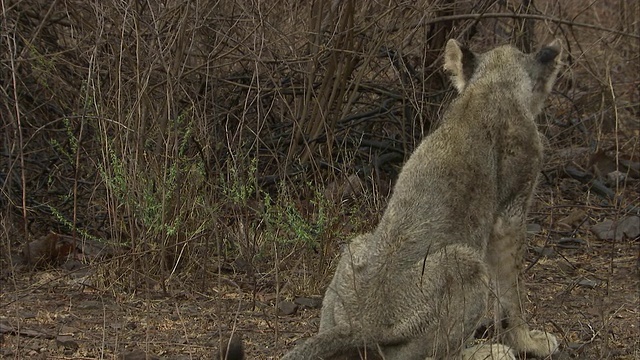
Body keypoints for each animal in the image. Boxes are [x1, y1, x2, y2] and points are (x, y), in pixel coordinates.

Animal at [282, 39, 564, 360]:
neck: (492, 82)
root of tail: (364, 326)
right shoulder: (511, 211)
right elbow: (511, 290)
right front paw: (528, 342)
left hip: (357, 245)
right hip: (466, 261)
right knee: (439, 354)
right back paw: (489, 351)